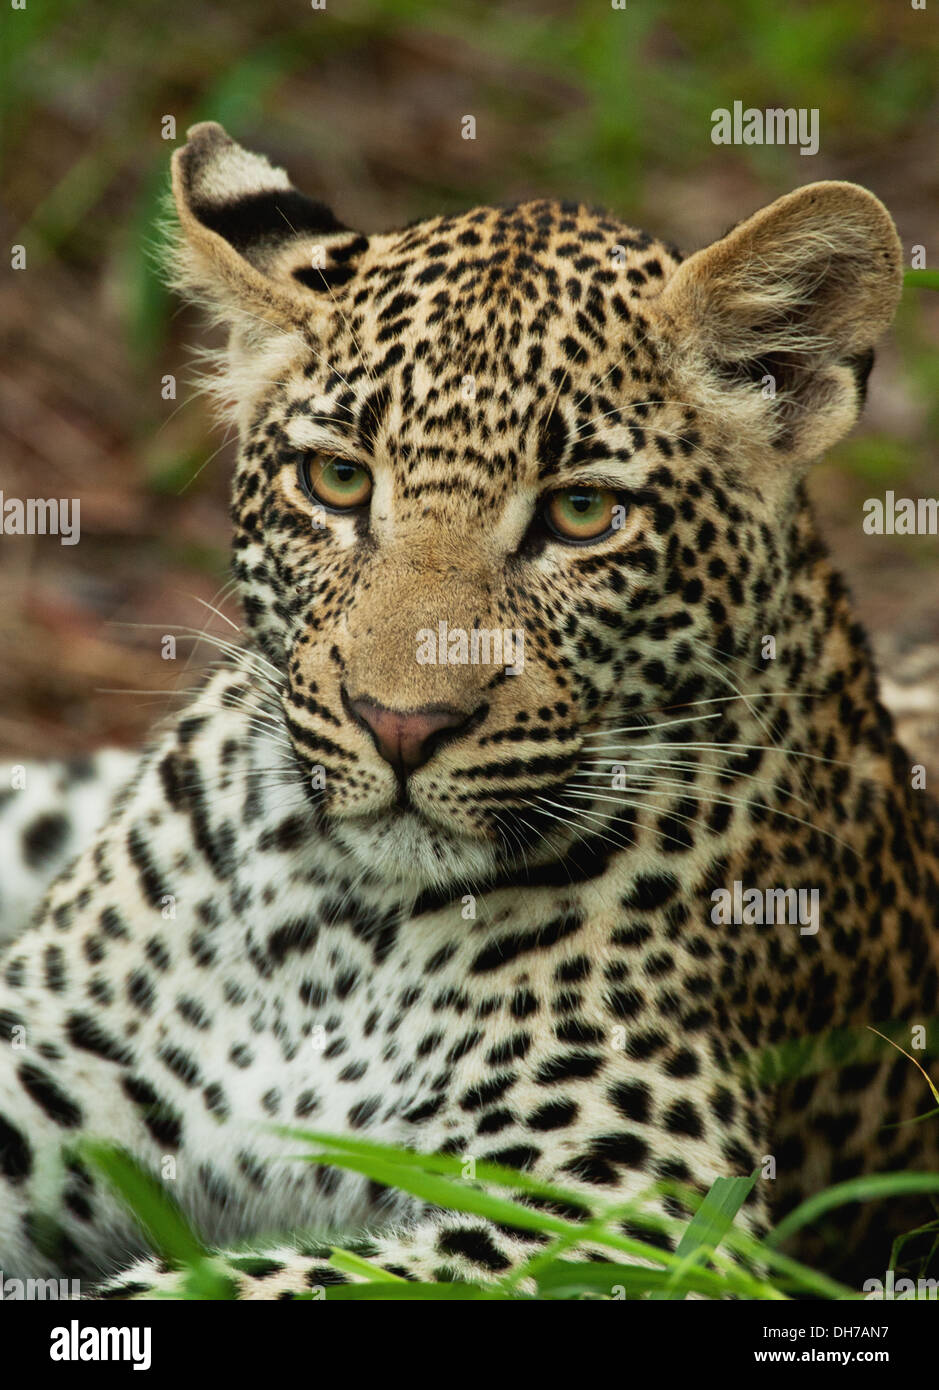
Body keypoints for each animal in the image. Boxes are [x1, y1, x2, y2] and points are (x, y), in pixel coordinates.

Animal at [0, 122, 933, 1301]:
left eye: (582, 513)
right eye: (338, 481)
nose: (400, 723)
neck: (336, 936)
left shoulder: (633, 1212)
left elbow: (254, 1280)